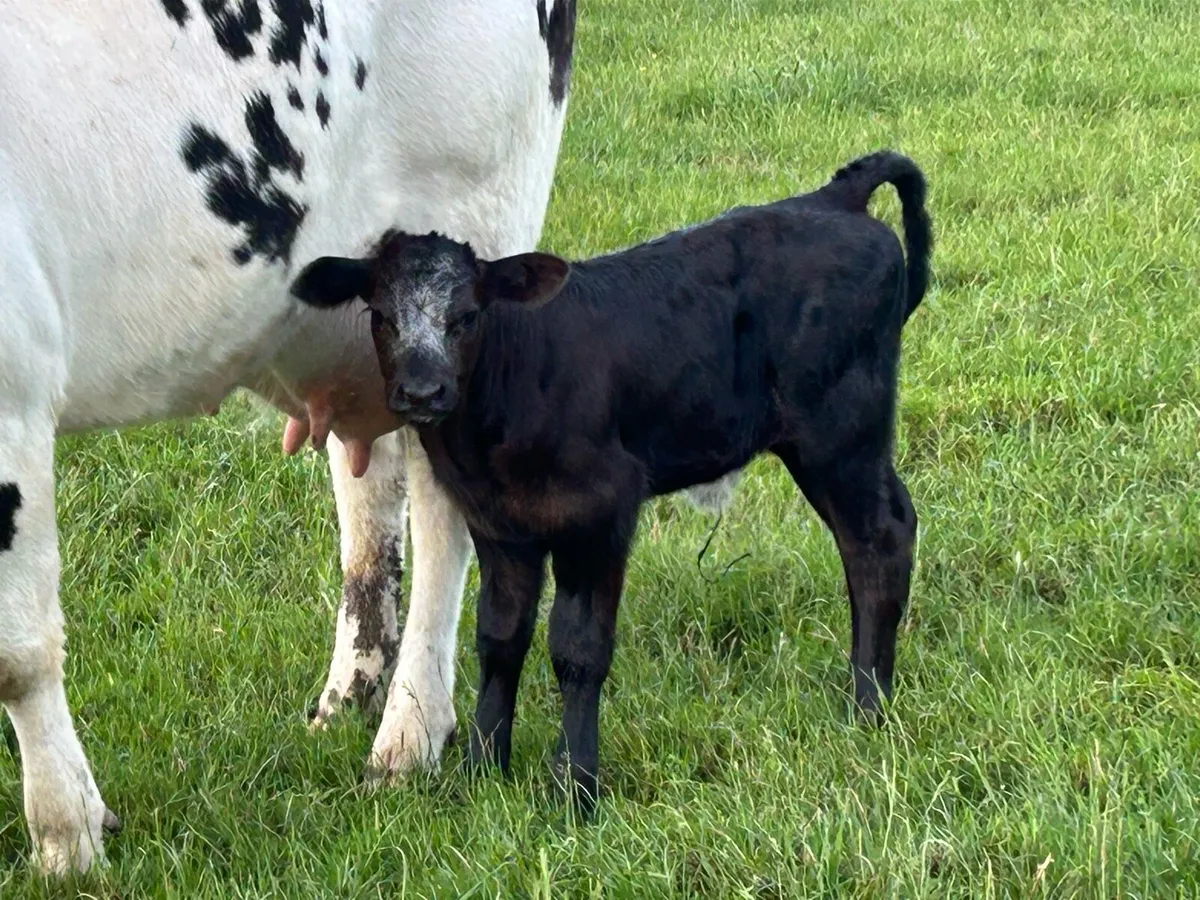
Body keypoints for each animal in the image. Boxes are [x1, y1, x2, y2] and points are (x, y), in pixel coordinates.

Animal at [0, 0, 581, 875]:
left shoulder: (13, 383)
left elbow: (18, 653)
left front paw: (67, 837)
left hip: (473, 228)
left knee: (445, 520)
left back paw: (408, 737)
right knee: (371, 502)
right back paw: (348, 697)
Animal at [289, 150, 933, 811]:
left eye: (467, 316)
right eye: (381, 317)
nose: (421, 392)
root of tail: (835, 198)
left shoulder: (601, 511)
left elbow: (578, 649)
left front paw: (575, 786)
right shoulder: (500, 525)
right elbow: (499, 638)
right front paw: (483, 767)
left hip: (840, 430)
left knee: (878, 538)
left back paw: (868, 705)